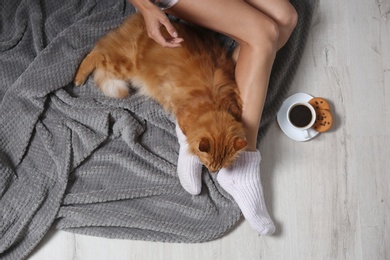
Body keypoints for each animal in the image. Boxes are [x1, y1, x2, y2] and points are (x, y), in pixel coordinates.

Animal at [74, 14, 247, 173]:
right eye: (208, 162)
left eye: (221, 166)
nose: (212, 171)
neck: (214, 105)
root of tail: (139, 19)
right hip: (123, 66)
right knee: (97, 53)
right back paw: (78, 78)